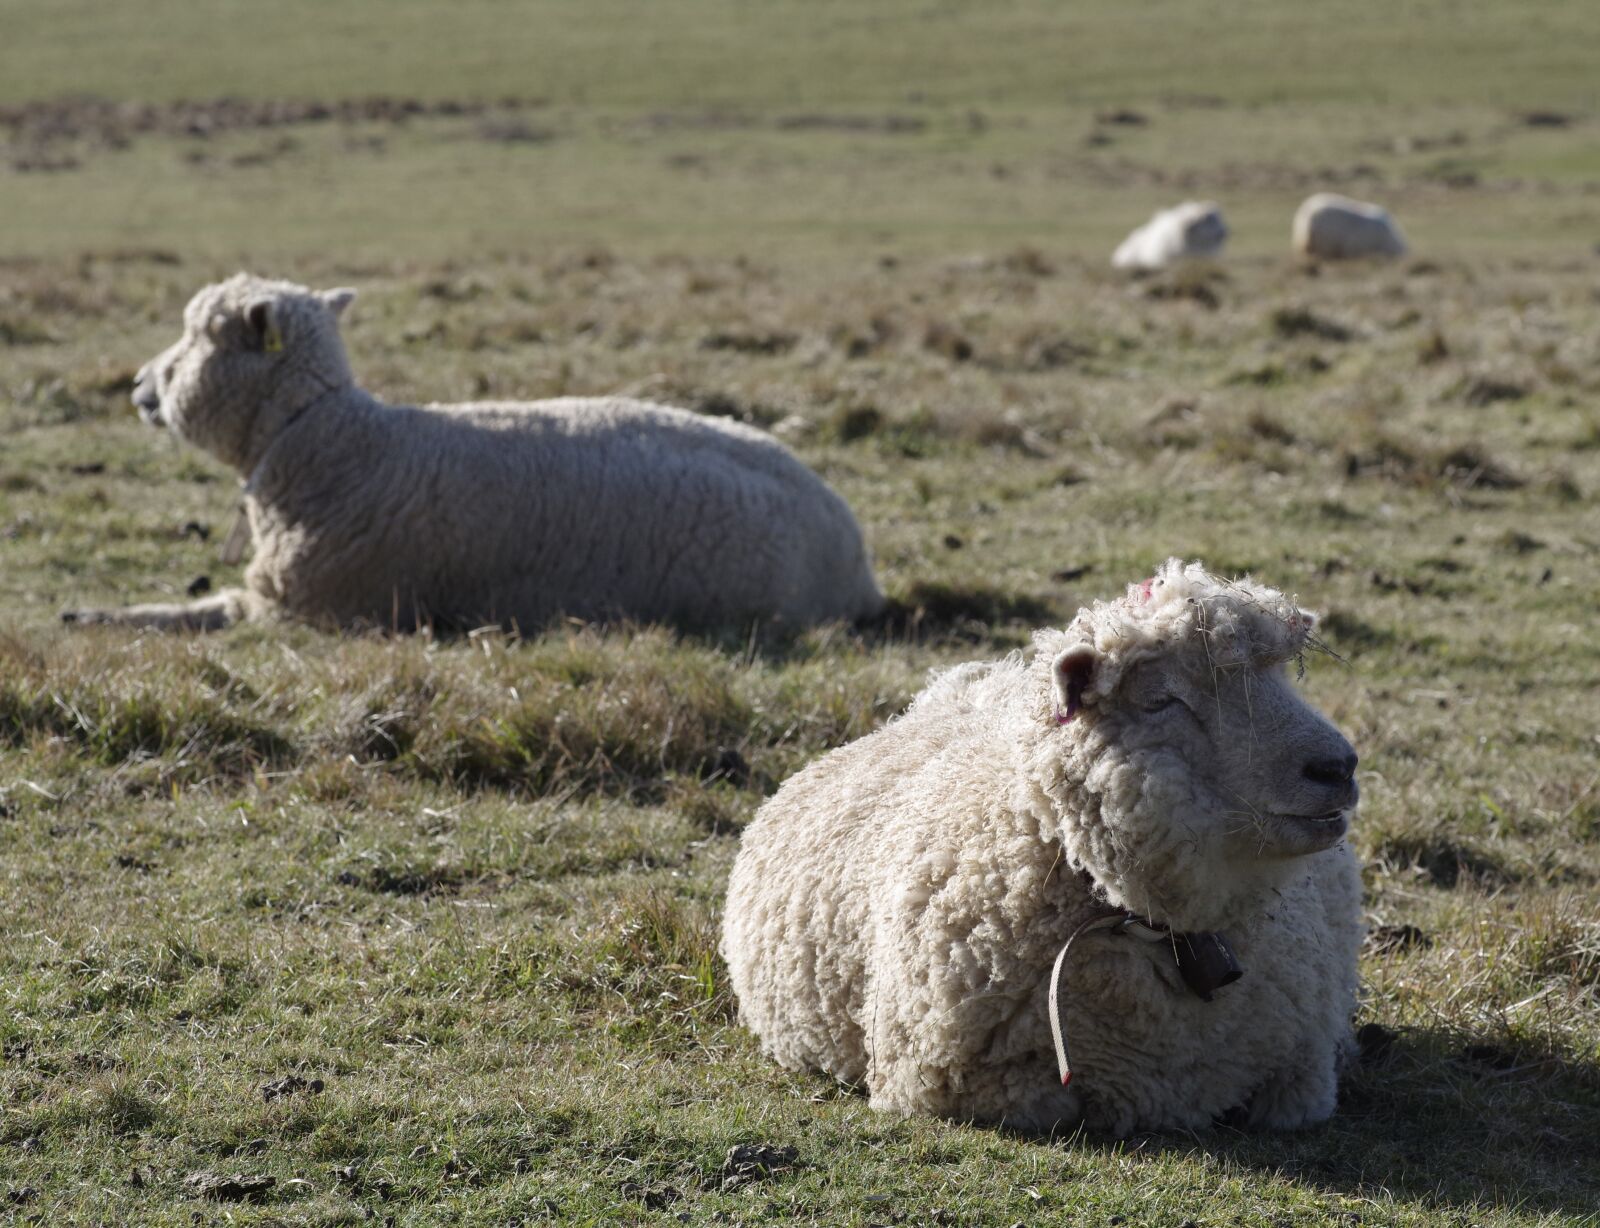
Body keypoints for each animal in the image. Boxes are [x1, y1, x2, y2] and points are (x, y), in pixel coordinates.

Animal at [726, 562, 1363, 1138]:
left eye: (1282, 680)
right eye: (1162, 700)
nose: (1339, 767)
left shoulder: (1302, 1073)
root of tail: (961, 682)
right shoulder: (971, 1086)